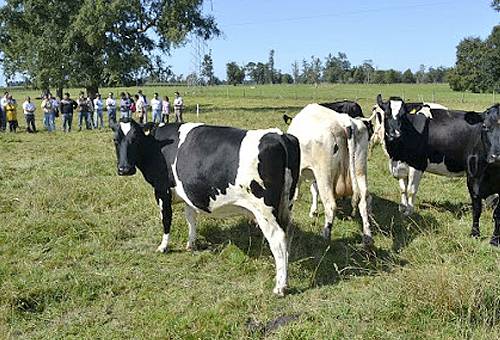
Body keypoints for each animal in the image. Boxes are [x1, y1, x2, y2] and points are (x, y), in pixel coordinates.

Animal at [112, 118, 300, 294]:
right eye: (115, 139)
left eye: (135, 139)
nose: (124, 169)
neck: (156, 144)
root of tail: (280, 136)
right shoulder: (187, 192)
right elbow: (190, 218)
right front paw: (191, 244)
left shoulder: (161, 189)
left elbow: (166, 219)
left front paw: (163, 246)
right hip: (286, 204)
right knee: (288, 234)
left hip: (264, 210)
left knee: (278, 239)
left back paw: (280, 287)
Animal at [376, 94, 500, 246]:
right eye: (387, 113)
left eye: (403, 115)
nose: (395, 134)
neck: (397, 153)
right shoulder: (400, 166)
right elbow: (403, 189)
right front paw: (402, 207)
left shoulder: (417, 165)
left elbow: (411, 190)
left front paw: (409, 212)